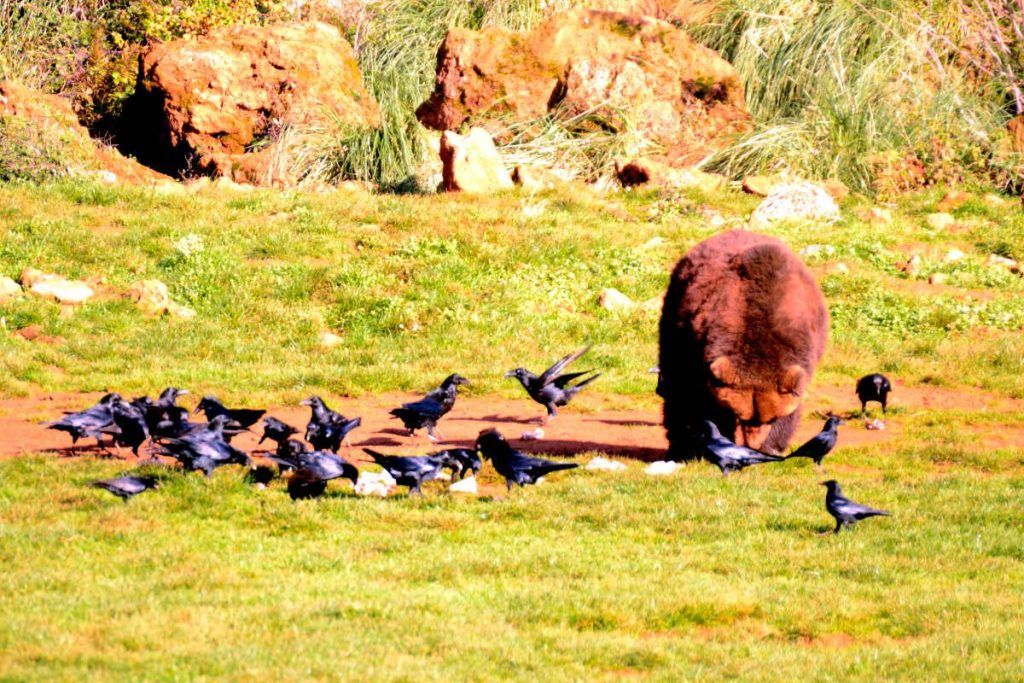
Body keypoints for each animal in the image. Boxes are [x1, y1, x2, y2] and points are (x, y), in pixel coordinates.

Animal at [658, 229, 828, 460]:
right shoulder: (701, 345)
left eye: (770, 417)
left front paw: (772, 445)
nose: (751, 443)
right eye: (739, 415)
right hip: (676, 312)